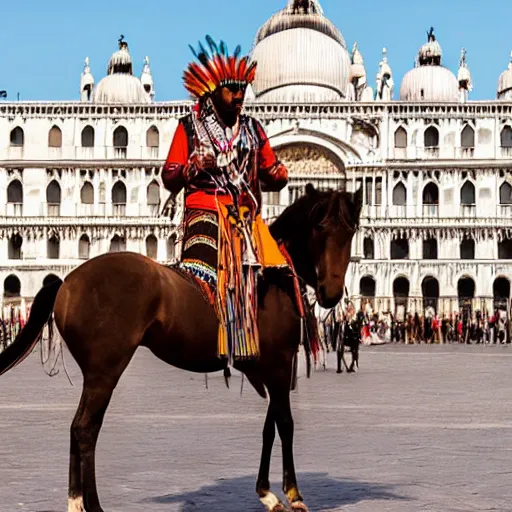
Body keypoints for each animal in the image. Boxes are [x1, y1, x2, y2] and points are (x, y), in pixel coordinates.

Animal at [0, 182, 362, 510]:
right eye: (319, 228)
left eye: (351, 231)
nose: (331, 293)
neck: (272, 278)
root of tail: (66, 282)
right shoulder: (281, 361)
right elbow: (285, 424)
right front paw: (293, 495)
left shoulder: (271, 365)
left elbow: (268, 427)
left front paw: (267, 493)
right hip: (105, 368)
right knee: (86, 429)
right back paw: (94, 506)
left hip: (96, 370)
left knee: (77, 427)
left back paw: (76, 502)